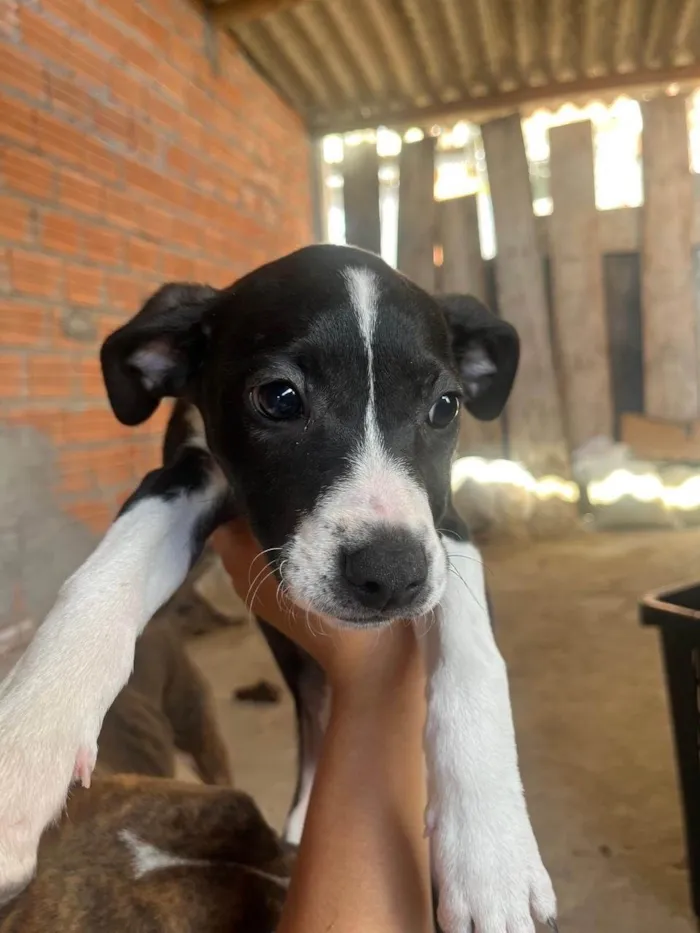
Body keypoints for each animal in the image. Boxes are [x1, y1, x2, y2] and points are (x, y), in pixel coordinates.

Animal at [0, 244, 556, 928]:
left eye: (446, 407)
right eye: (279, 398)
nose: (391, 576)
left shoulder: (445, 525)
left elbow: (473, 656)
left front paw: (492, 856)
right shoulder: (188, 471)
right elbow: (108, 571)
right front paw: (27, 744)